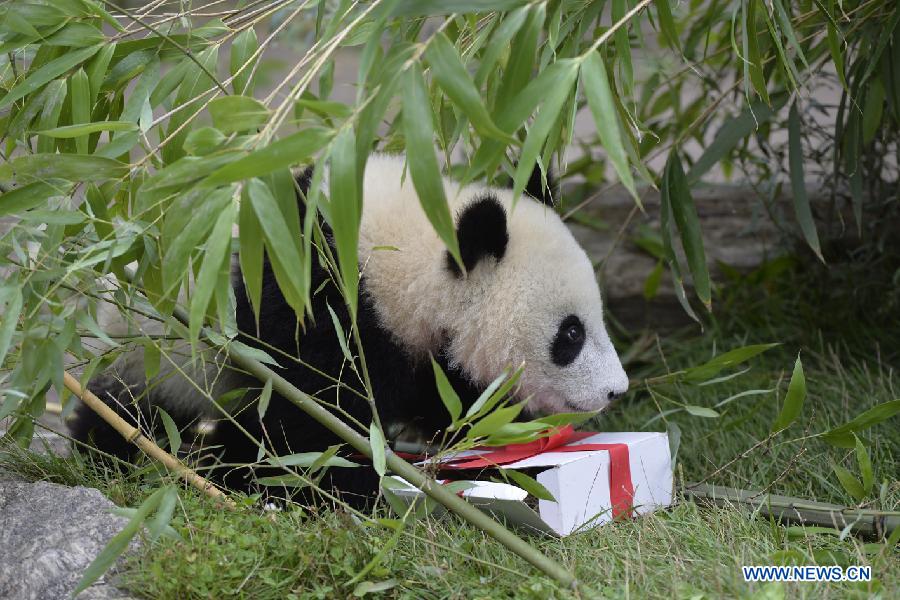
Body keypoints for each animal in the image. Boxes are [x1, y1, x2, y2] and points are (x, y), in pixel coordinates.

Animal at [70, 155, 628, 506]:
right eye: (571, 335)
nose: (615, 390)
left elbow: (451, 399)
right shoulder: (313, 296)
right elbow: (310, 411)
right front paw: (340, 490)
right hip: (150, 356)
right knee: (129, 415)